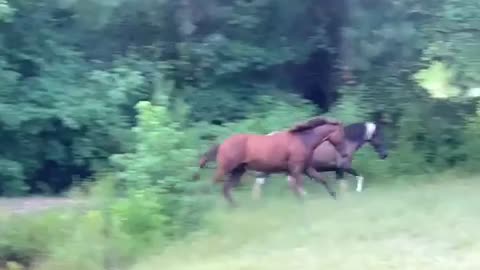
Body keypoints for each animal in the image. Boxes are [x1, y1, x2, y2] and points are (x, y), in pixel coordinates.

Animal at [192, 116, 348, 207]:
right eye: (342, 134)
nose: (345, 153)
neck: (303, 140)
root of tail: (222, 144)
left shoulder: (306, 168)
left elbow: (322, 181)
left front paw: (336, 198)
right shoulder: (296, 169)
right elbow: (298, 188)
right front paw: (303, 203)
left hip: (238, 171)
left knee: (226, 189)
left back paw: (235, 207)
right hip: (225, 169)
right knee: (214, 185)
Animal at [253, 121, 388, 199]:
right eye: (380, 136)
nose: (384, 155)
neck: (346, 141)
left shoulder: (337, 169)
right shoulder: (343, 166)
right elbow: (357, 177)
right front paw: (356, 191)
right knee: (260, 183)